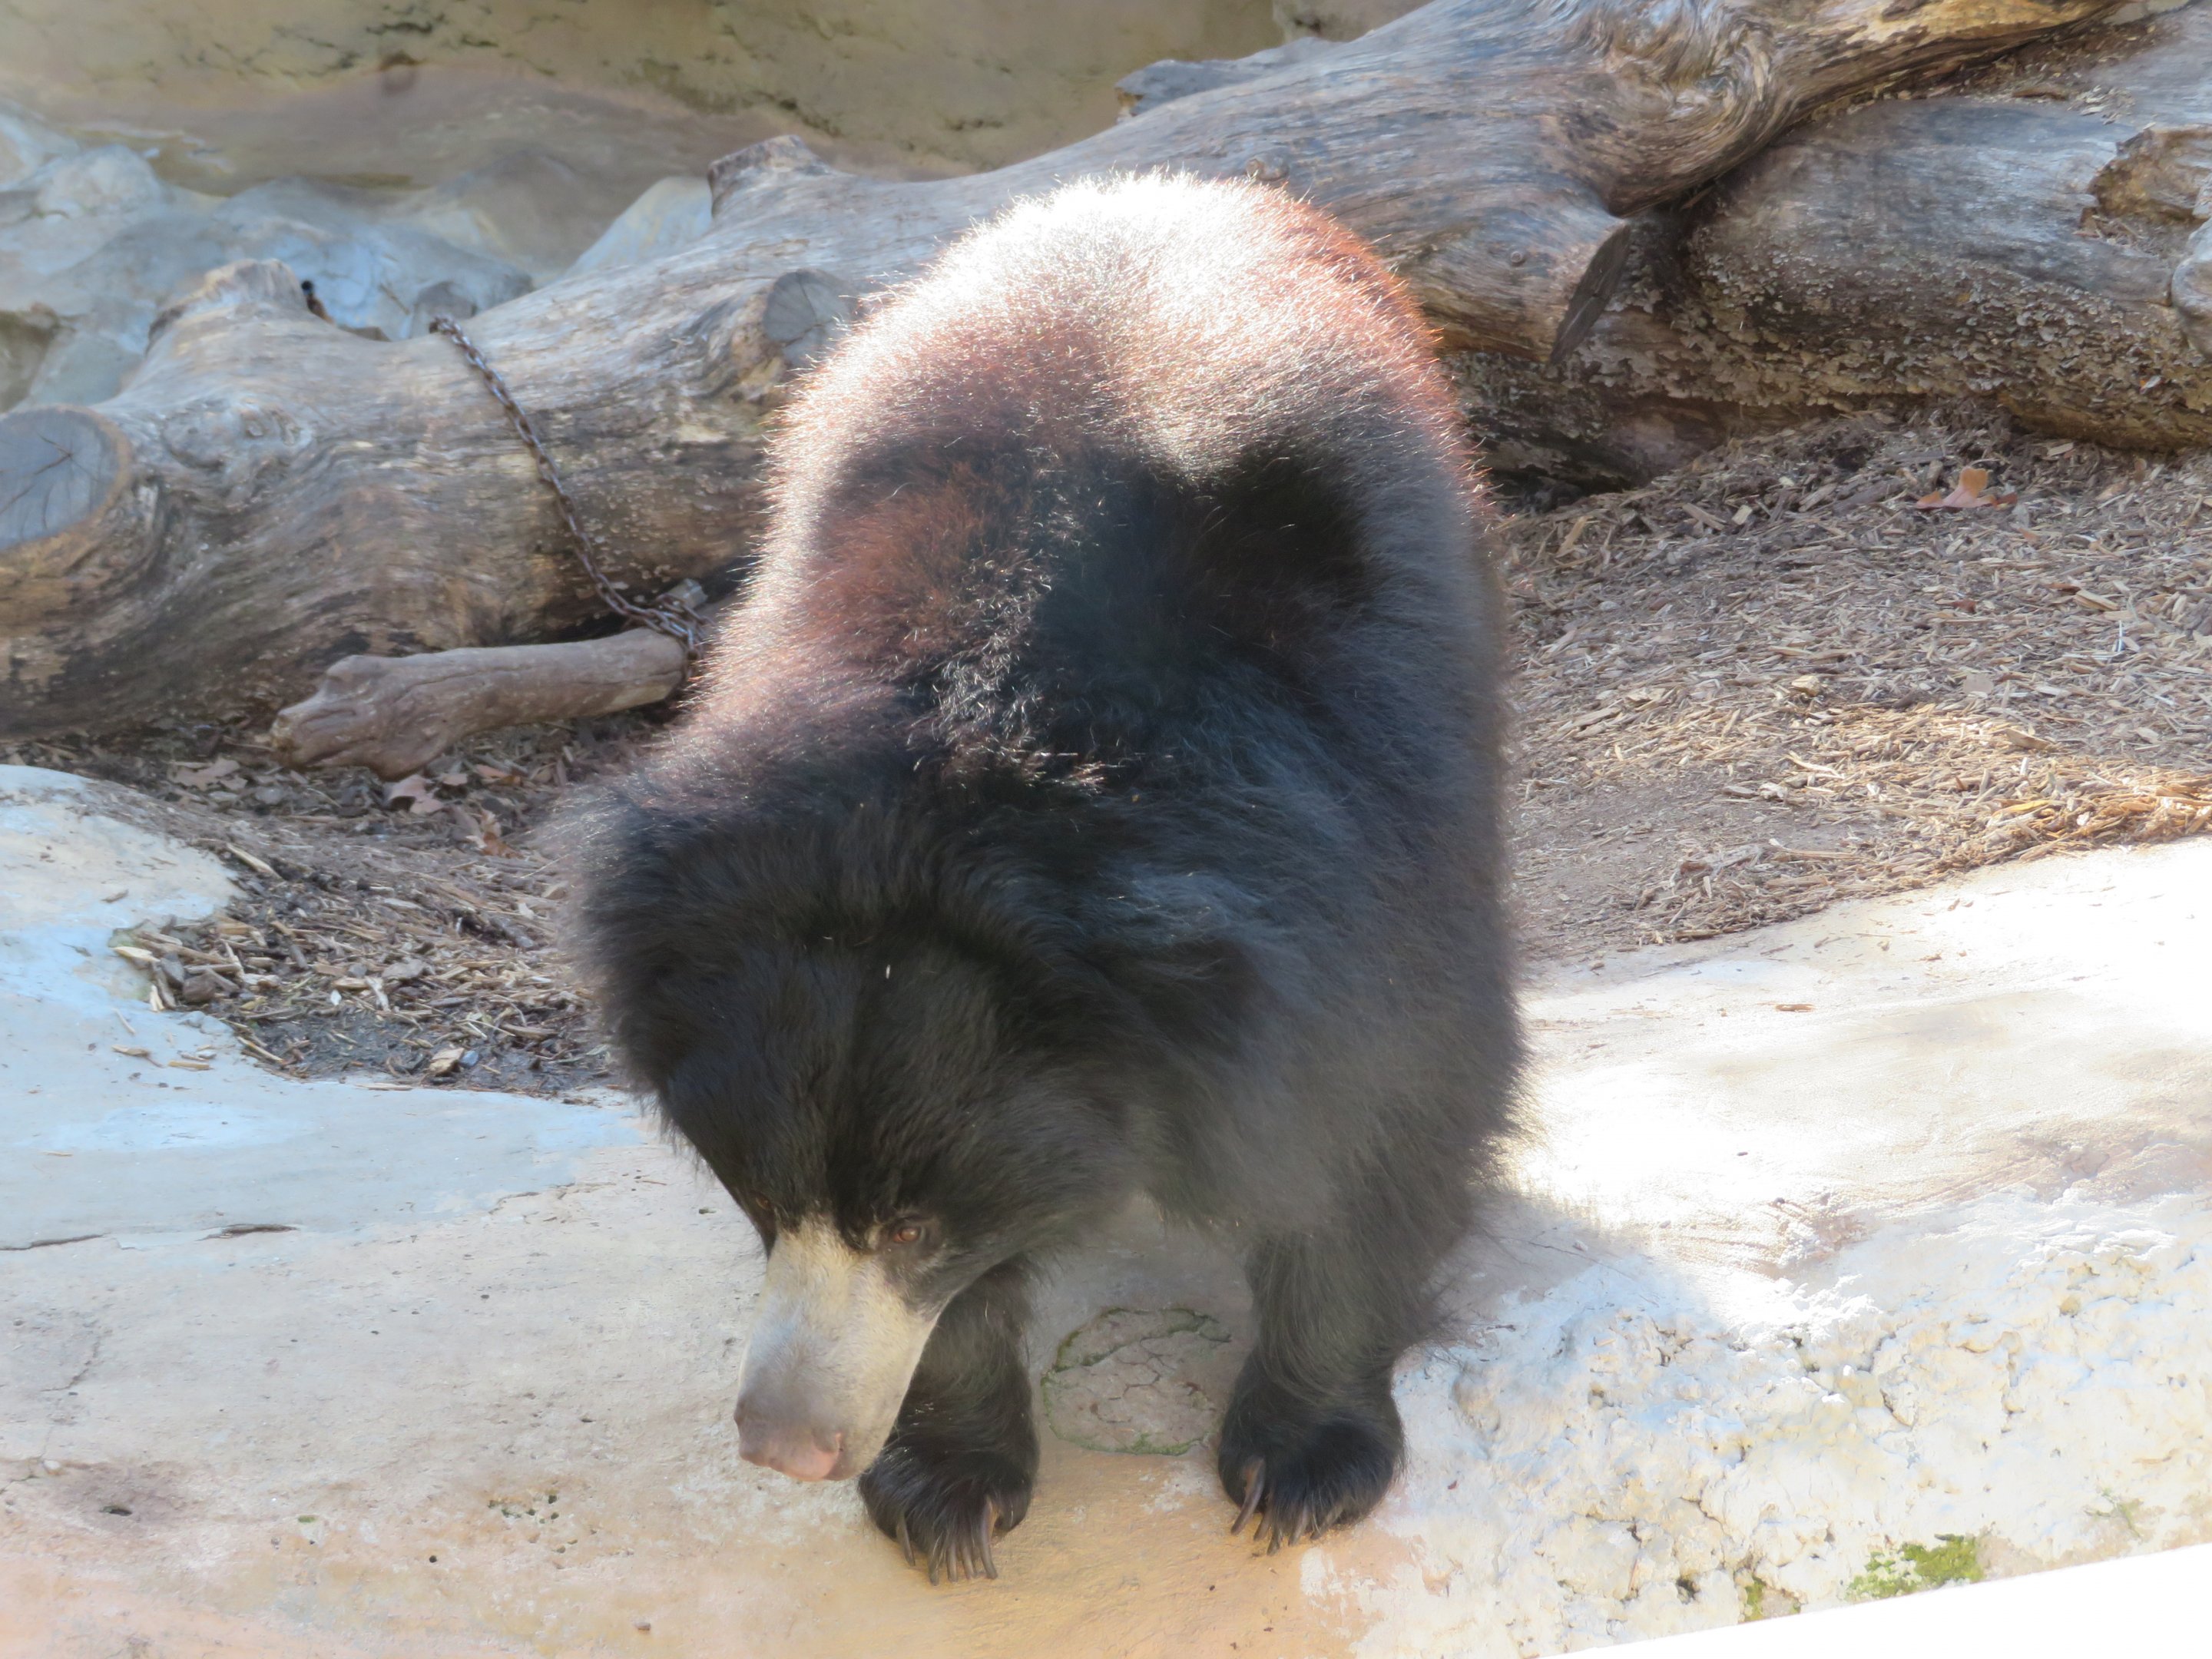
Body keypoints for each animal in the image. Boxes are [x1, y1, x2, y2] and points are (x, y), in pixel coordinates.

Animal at [571, 172, 1517, 1582]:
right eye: (766, 1194)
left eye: (915, 1226)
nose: (786, 1445)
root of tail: (1170, 186)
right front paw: (946, 1490)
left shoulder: (1372, 813)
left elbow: (1392, 1097)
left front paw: (1301, 1467)